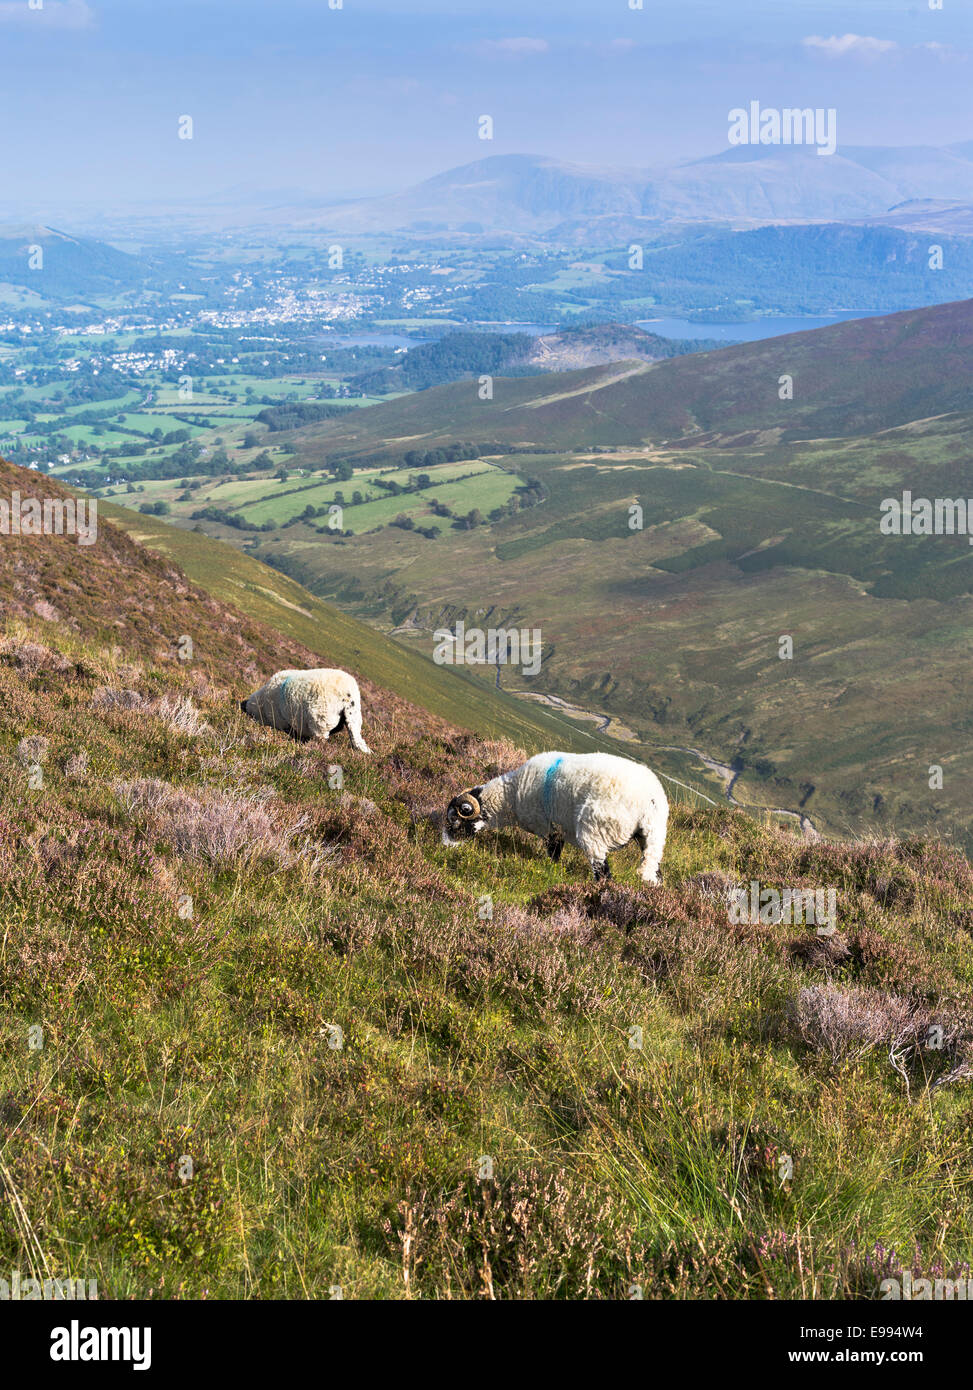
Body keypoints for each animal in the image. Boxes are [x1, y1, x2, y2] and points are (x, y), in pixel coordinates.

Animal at [442, 750, 664, 878]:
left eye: (456, 821)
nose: (444, 847)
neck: (510, 795)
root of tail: (650, 801)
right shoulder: (557, 829)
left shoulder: (548, 828)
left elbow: (553, 853)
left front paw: (551, 870)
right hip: (652, 839)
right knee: (654, 870)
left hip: (596, 831)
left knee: (603, 872)